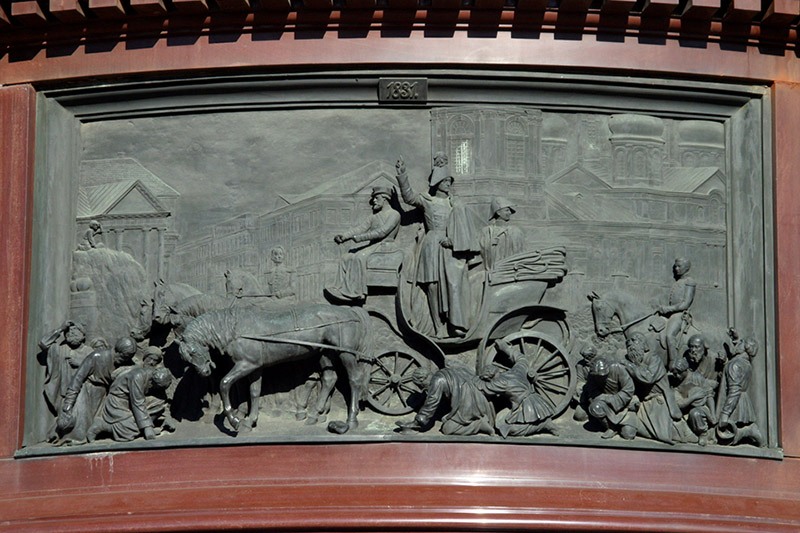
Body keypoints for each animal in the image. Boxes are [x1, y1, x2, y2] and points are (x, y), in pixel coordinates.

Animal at [178, 304, 372, 432]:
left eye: (193, 351)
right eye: (185, 357)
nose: (204, 372)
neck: (234, 328)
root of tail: (351, 310)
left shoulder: (246, 364)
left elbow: (224, 383)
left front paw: (234, 420)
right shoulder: (255, 367)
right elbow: (254, 392)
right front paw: (249, 421)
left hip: (345, 353)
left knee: (354, 379)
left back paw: (351, 419)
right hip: (325, 354)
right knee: (329, 379)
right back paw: (314, 415)